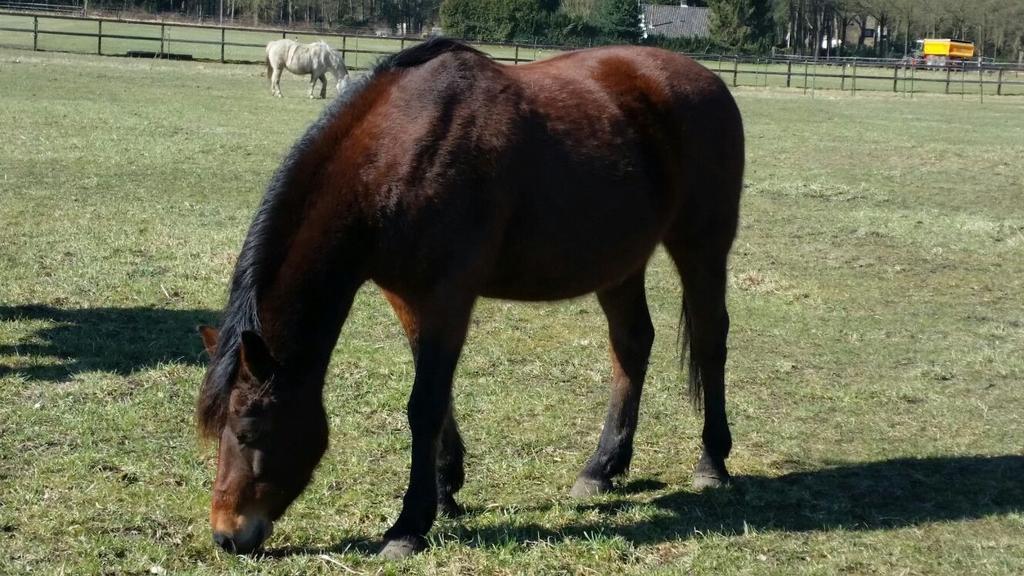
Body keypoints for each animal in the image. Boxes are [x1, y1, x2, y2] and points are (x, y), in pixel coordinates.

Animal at [195, 36, 745, 557]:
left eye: (248, 432)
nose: (227, 535)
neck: (397, 152)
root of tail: (709, 80)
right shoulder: (408, 298)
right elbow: (438, 399)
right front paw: (445, 491)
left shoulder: (447, 297)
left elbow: (424, 405)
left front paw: (409, 525)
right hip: (619, 262)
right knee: (632, 345)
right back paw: (602, 467)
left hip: (701, 244)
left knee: (711, 339)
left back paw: (711, 460)